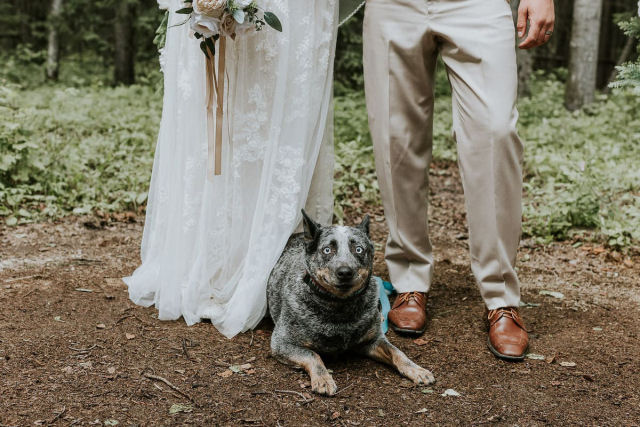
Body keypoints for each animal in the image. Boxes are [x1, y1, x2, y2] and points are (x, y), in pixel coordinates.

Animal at [264, 211, 436, 398]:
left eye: (358, 249)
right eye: (327, 250)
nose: (345, 272)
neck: (340, 306)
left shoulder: (372, 340)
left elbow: (397, 352)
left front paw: (416, 369)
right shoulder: (282, 343)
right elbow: (312, 354)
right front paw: (323, 379)